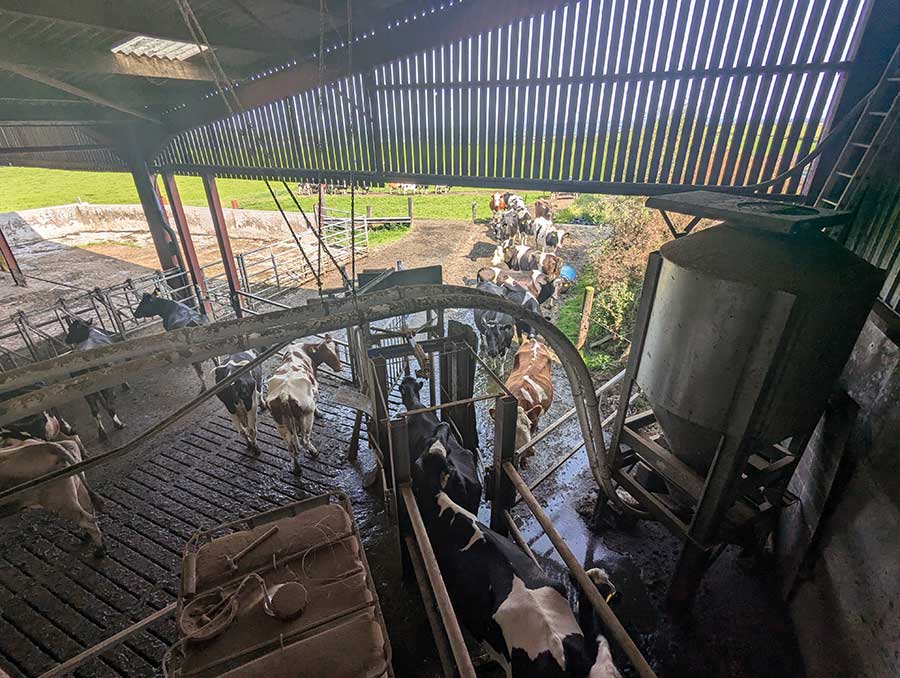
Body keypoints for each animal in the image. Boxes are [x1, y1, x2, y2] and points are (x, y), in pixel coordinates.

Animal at [266, 338, 342, 476]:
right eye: (327, 352)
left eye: (336, 349)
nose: (340, 367)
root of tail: (284, 393)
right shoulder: (315, 388)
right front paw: (319, 413)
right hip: (307, 416)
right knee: (304, 440)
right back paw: (314, 452)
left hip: (280, 423)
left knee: (291, 447)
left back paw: (297, 468)